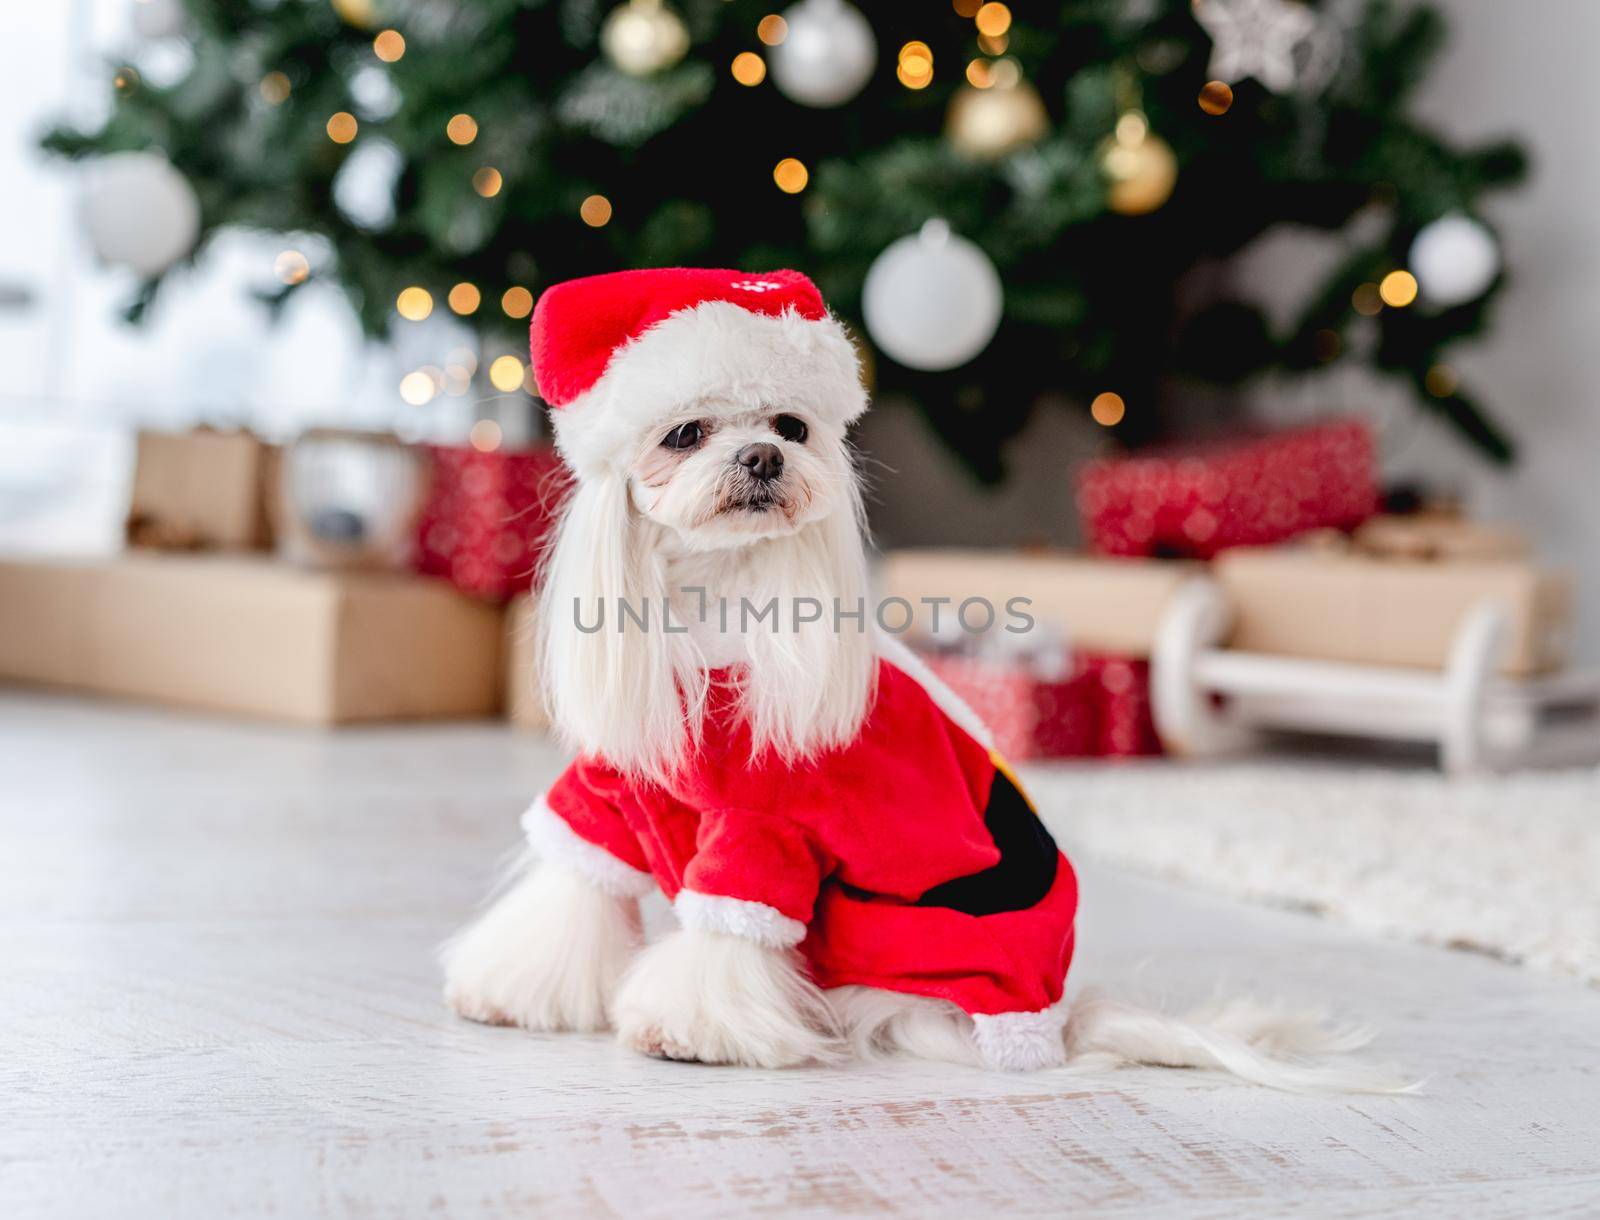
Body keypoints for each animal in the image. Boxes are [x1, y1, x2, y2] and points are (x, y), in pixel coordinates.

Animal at [438, 264, 1401, 1082]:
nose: (764, 457)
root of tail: (1056, 1021)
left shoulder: (764, 831)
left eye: (791, 427)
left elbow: (730, 931)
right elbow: (574, 881)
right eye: (685, 432)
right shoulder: (607, 788)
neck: (712, 609)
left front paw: (690, 1030)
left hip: (886, 932)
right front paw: (515, 989)